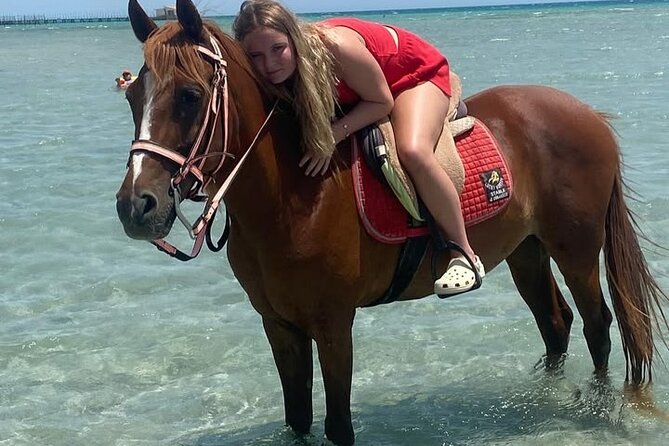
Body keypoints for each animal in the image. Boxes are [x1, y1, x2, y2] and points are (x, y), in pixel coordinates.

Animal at [115, 1, 669, 444]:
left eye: (189, 95)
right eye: (132, 96)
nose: (136, 206)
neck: (293, 197)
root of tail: (590, 115)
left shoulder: (333, 324)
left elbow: (338, 426)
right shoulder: (279, 326)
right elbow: (297, 420)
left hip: (575, 249)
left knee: (598, 327)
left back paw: (591, 407)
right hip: (526, 250)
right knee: (556, 324)